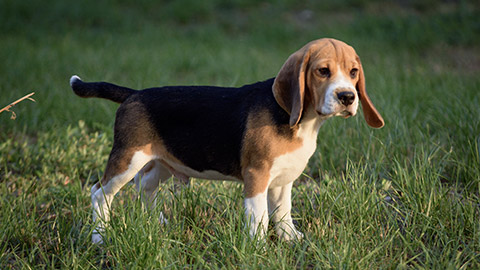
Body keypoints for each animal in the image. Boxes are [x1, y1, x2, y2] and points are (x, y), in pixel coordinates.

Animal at [69, 38, 384, 245]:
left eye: (353, 72)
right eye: (322, 71)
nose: (347, 97)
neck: (302, 122)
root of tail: (134, 94)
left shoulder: (283, 179)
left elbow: (283, 212)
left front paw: (291, 239)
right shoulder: (257, 176)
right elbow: (260, 216)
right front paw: (258, 248)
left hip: (162, 161)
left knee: (144, 186)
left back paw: (155, 223)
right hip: (128, 159)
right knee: (100, 193)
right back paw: (100, 236)